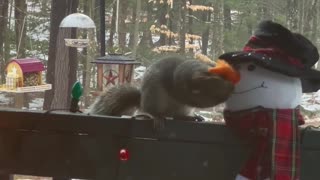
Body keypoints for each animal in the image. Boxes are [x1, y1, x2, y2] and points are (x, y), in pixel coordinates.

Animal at [86, 54, 236, 129]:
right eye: (218, 78)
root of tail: (141, 101)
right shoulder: (184, 88)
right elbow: (200, 100)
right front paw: (227, 91)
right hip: (154, 98)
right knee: (152, 111)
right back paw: (158, 118)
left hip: (182, 108)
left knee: (176, 116)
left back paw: (189, 117)